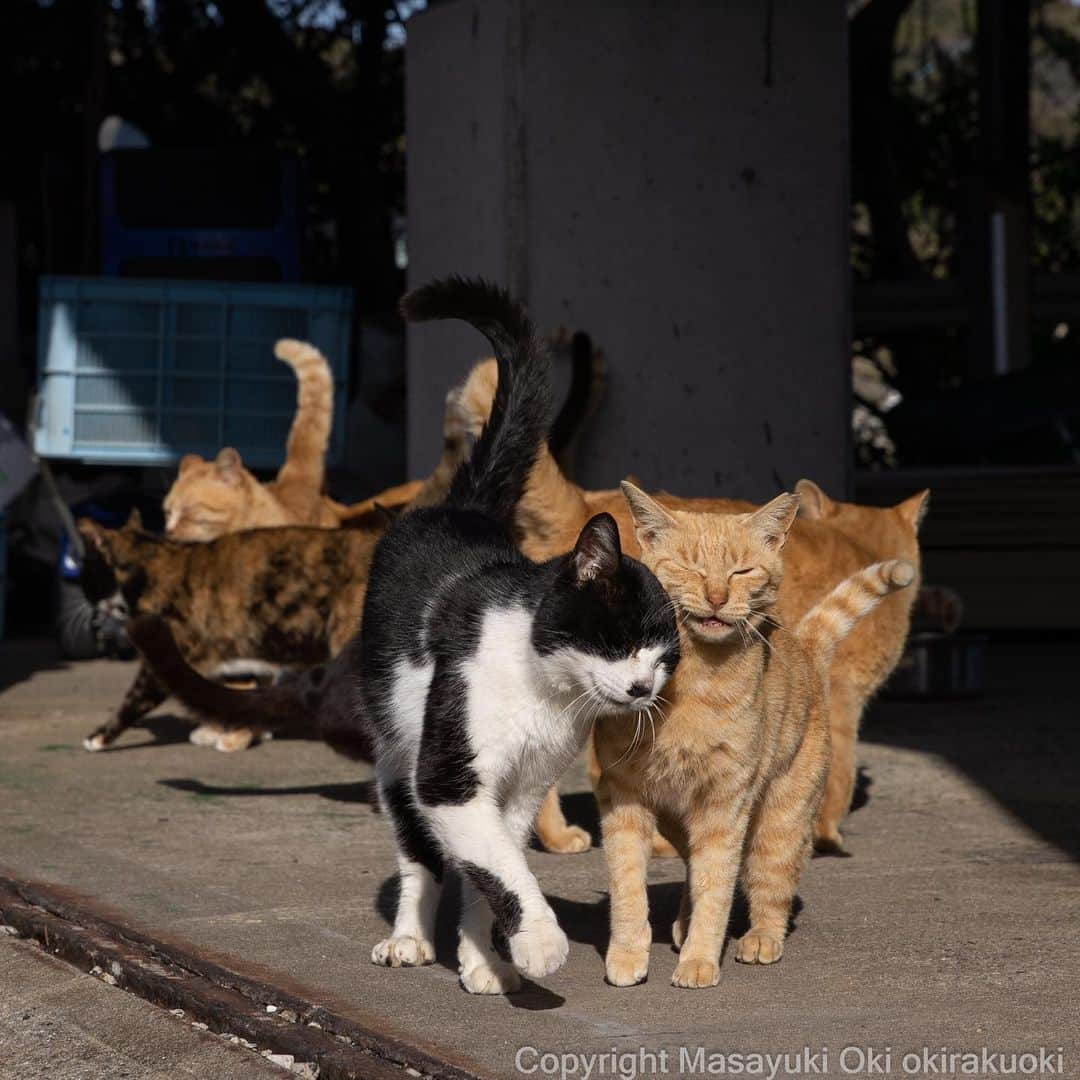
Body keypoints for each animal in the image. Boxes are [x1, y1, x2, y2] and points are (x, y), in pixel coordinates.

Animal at [362, 278, 682, 993]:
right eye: (619, 640)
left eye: (664, 657)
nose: (643, 687)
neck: (544, 691)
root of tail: (461, 509)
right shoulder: (450, 781)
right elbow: (499, 867)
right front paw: (539, 943)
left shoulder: (525, 786)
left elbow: (495, 866)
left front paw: (486, 960)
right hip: (397, 751)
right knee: (418, 854)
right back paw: (409, 937)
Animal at [596, 486, 915, 989]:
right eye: (689, 567)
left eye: (742, 571)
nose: (716, 596)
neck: (690, 684)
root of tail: (802, 644)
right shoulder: (623, 796)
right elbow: (629, 884)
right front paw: (628, 953)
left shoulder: (726, 801)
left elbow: (717, 886)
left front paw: (700, 959)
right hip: (677, 822)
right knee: (691, 871)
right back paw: (682, 924)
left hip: (777, 820)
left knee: (771, 884)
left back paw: (761, 938)